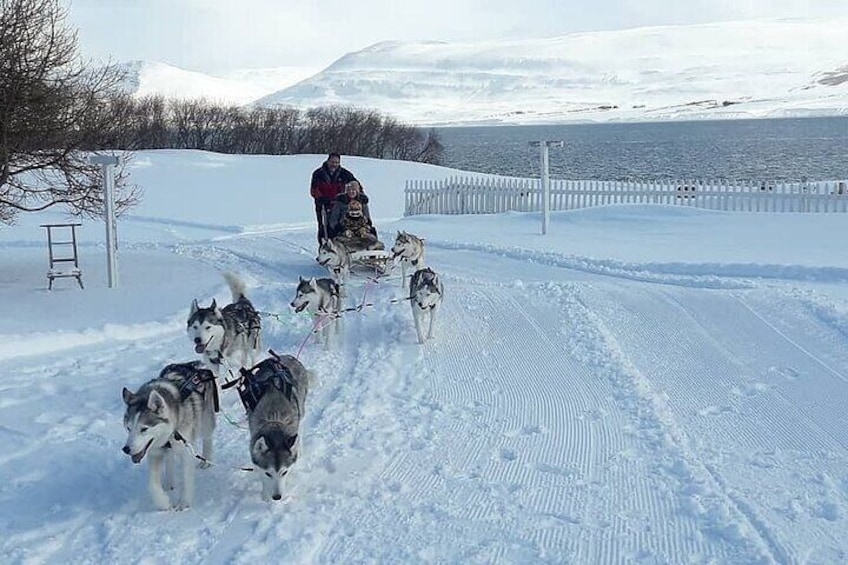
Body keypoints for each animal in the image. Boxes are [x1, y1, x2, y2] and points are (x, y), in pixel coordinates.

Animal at [121, 362, 217, 512]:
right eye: (129, 428)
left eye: (144, 429)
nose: (126, 449)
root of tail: (196, 364)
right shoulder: (155, 452)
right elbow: (152, 484)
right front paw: (163, 503)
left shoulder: (185, 450)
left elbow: (186, 478)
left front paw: (184, 503)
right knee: (169, 458)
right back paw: (168, 482)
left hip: (205, 422)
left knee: (207, 438)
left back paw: (206, 461)